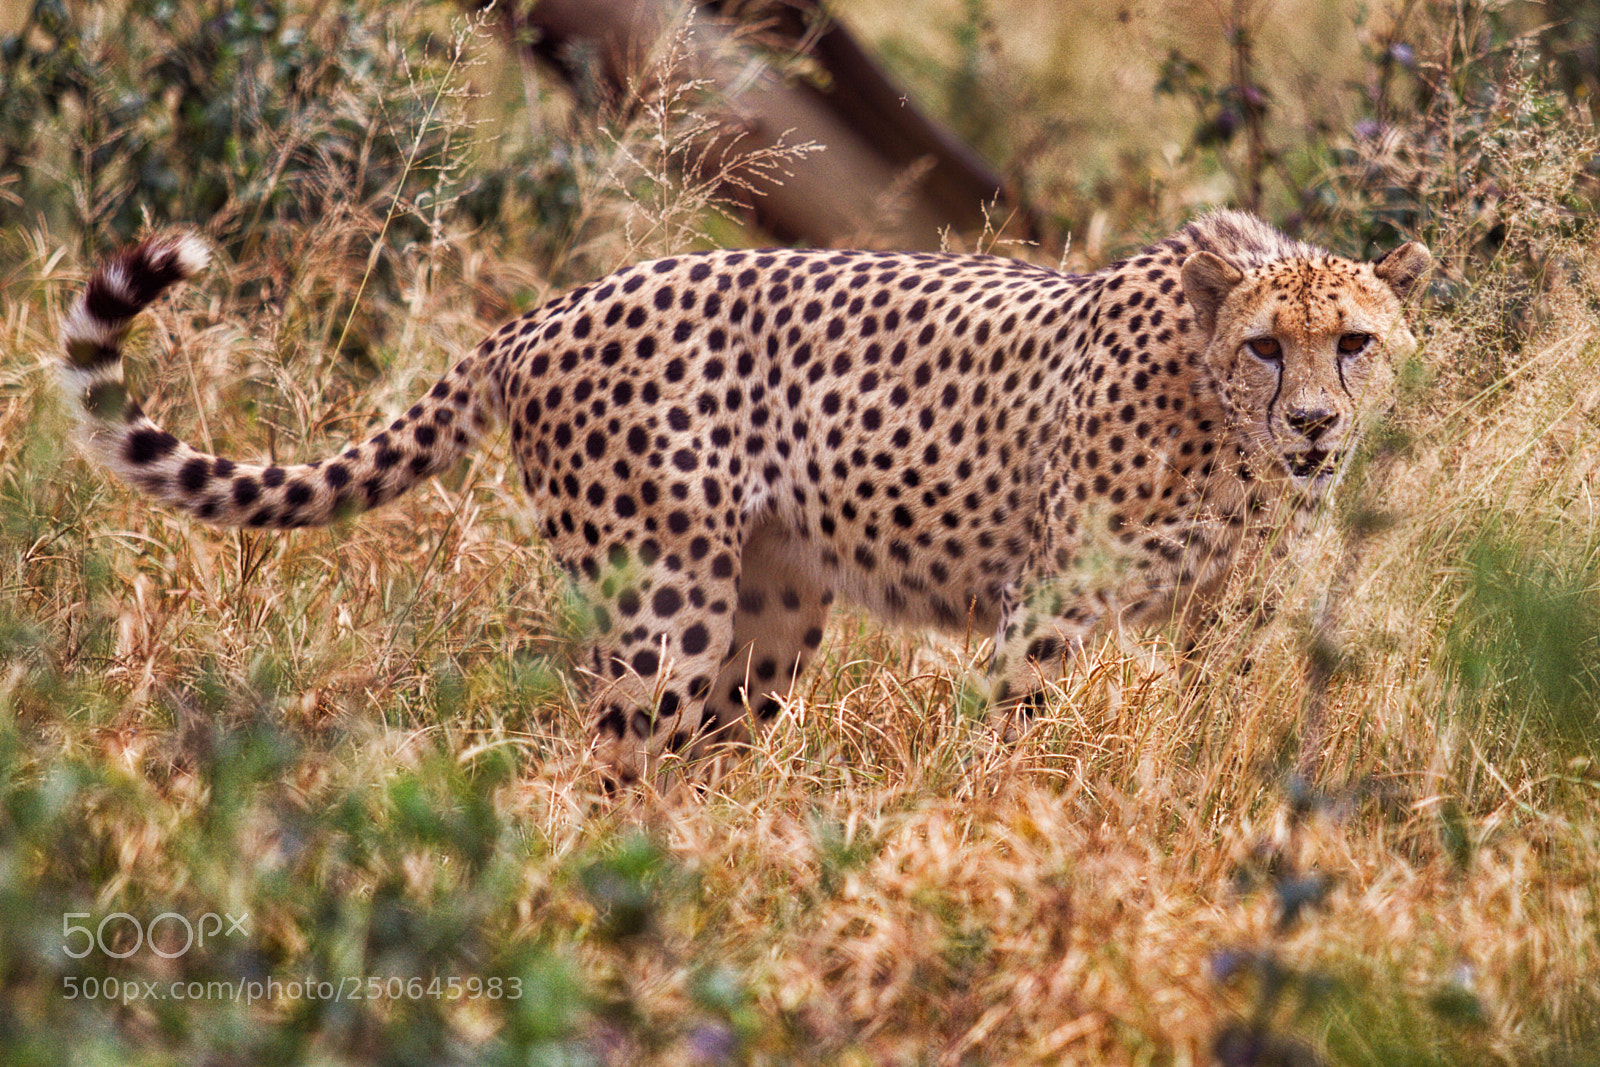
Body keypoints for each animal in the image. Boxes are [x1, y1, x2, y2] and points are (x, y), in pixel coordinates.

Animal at [59, 211, 1429, 782]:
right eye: (1268, 348)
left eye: (1354, 343)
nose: (1314, 424)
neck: (1222, 428)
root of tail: (547, 309)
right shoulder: (1046, 605)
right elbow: (1006, 739)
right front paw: (997, 832)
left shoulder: (1232, 612)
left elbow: (1221, 725)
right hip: (661, 606)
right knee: (604, 765)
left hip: (769, 612)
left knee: (693, 755)